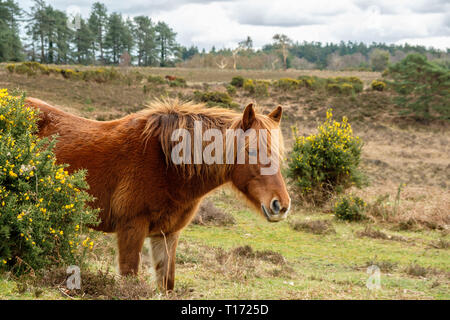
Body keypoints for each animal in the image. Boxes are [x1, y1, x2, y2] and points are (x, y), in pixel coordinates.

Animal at [24, 97, 290, 290]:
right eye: (252, 152)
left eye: (279, 153)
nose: (281, 205)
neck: (168, 163)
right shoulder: (131, 228)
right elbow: (129, 279)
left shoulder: (167, 234)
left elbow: (166, 283)